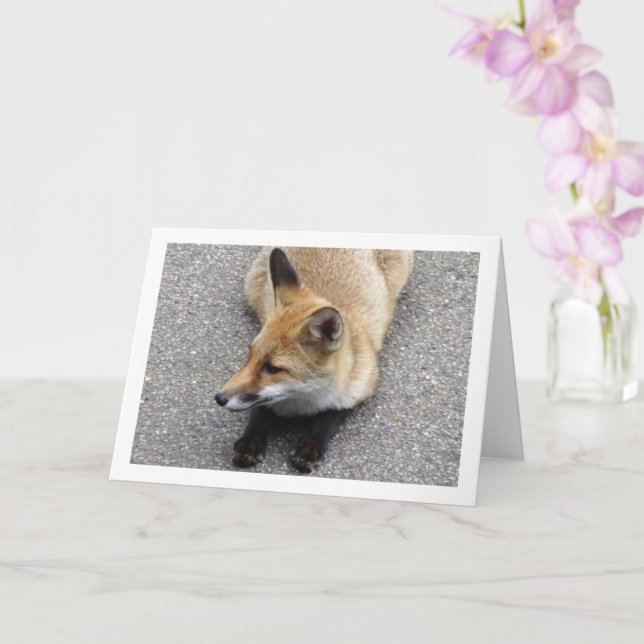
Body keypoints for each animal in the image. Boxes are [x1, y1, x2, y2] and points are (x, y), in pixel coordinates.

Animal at [215, 245, 413, 473]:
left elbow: (328, 418)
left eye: (272, 368)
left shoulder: (362, 384)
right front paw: (250, 442)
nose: (219, 398)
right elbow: (259, 411)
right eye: (250, 354)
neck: (302, 400)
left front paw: (310, 447)